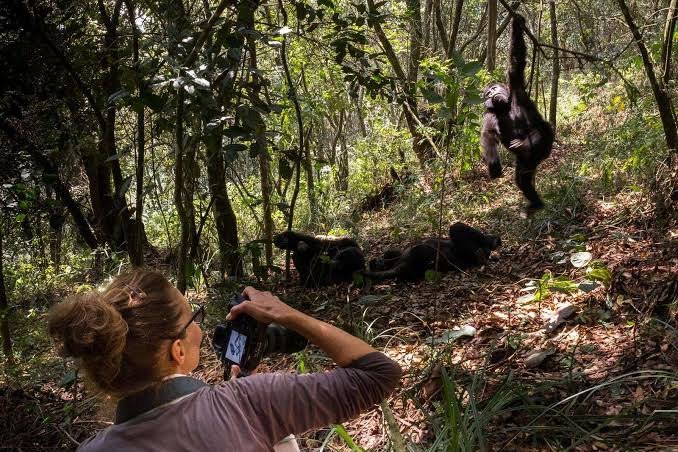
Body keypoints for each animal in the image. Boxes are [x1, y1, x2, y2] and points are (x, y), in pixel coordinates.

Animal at [480, 14, 554, 214]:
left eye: (493, 89)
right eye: (487, 94)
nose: (491, 94)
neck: (504, 106)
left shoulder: (516, 84)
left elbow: (516, 61)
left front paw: (517, 21)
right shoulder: (488, 115)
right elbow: (488, 134)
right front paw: (493, 166)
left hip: (543, 149)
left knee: (544, 129)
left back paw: (523, 145)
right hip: (525, 164)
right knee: (522, 179)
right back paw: (536, 203)